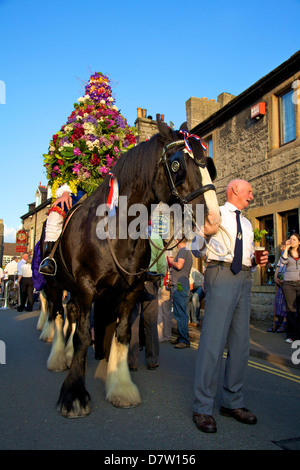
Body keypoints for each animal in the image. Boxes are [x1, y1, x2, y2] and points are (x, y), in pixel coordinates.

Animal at [40, 118, 220, 418]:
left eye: (209, 165)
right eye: (176, 165)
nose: (214, 220)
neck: (115, 230)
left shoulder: (130, 291)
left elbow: (122, 335)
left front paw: (121, 387)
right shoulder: (86, 287)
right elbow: (81, 337)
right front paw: (73, 393)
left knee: (71, 313)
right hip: (54, 283)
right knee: (56, 314)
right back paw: (57, 357)